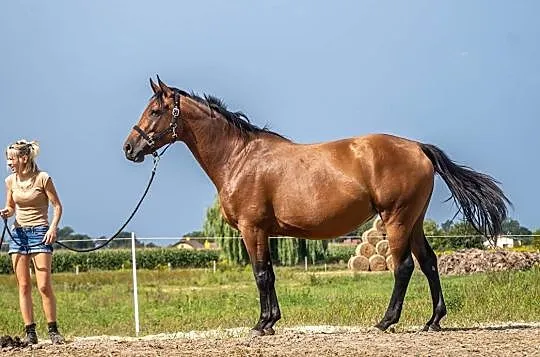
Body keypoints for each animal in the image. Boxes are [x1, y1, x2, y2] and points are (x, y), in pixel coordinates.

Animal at [122, 76, 510, 336]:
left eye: (155, 110)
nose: (129, 148)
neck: (240, 158)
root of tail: (417, 147)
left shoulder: (252, 229)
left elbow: (261, 274)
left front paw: (262, 324)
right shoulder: (264, 232)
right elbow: (270, 274)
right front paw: (272, 321)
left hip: (397, 219)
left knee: (403, 268)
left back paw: (386, 321)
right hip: (413, 221)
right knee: (429, 263)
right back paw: (433, 321)